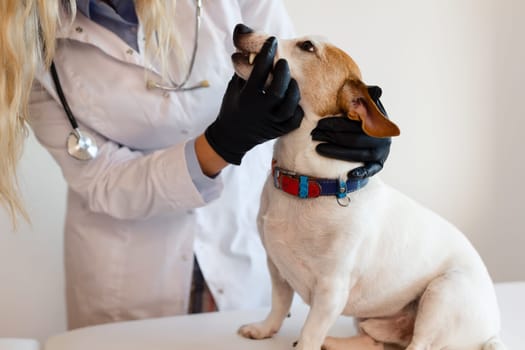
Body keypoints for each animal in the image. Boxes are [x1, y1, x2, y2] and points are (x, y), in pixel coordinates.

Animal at [231, 24, 506, 350]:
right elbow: (278, 306)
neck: (307, 183)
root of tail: (490, 333)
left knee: (419, 345)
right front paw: (264, 329)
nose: (242, 27)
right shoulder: (277, 270)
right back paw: (334, 342)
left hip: (443, 294)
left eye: (307, 46)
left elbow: (310, 331)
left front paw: (307, 342)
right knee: (373, 342)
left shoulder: (331, 292)